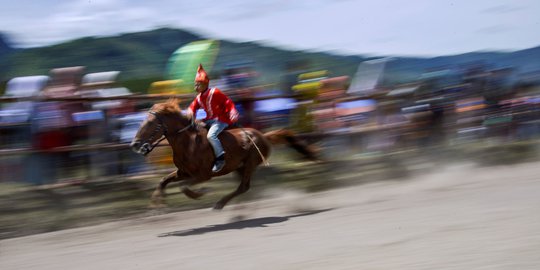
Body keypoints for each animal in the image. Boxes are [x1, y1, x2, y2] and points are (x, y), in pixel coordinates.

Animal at [130, 98, 316, 210]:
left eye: (151, 123)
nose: (135, 144)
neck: (188, 142)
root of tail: (264, 136)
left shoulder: (204, 175)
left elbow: (184, 187)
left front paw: (200, 193)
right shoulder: (183, 172)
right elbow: (163, 181)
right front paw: (157, 203)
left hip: (250, 165)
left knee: (244, 187)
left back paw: (220, 204)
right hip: (238, 167)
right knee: (245, 188)